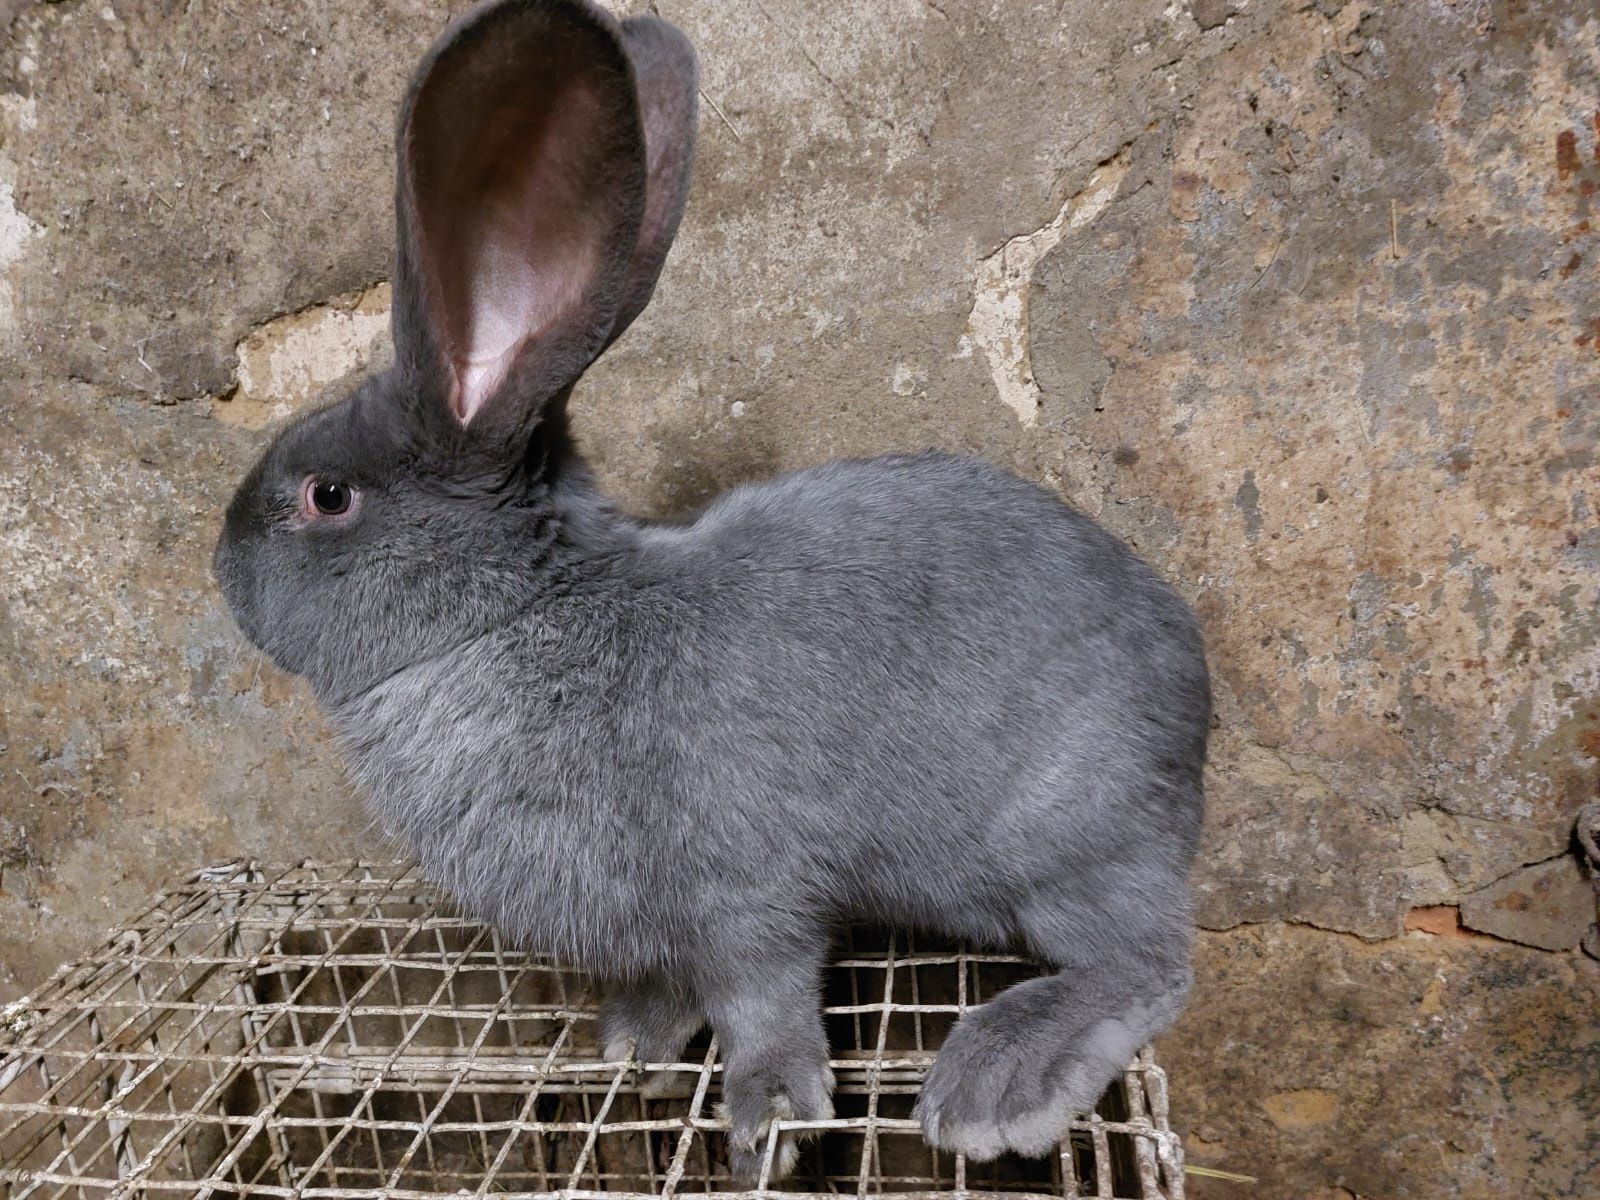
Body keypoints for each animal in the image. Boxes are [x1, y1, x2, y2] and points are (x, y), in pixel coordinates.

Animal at [216, 0, 1209, 1184]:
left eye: (326, 496)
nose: (221, 564)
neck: (507, 621)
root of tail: (1194, 712)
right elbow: (678, 988)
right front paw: (634, 1049)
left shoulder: (747, 893)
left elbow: (762, 999)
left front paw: (769, 1125)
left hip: (1062, 844)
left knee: (1147, 964)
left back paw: (994, 1087)